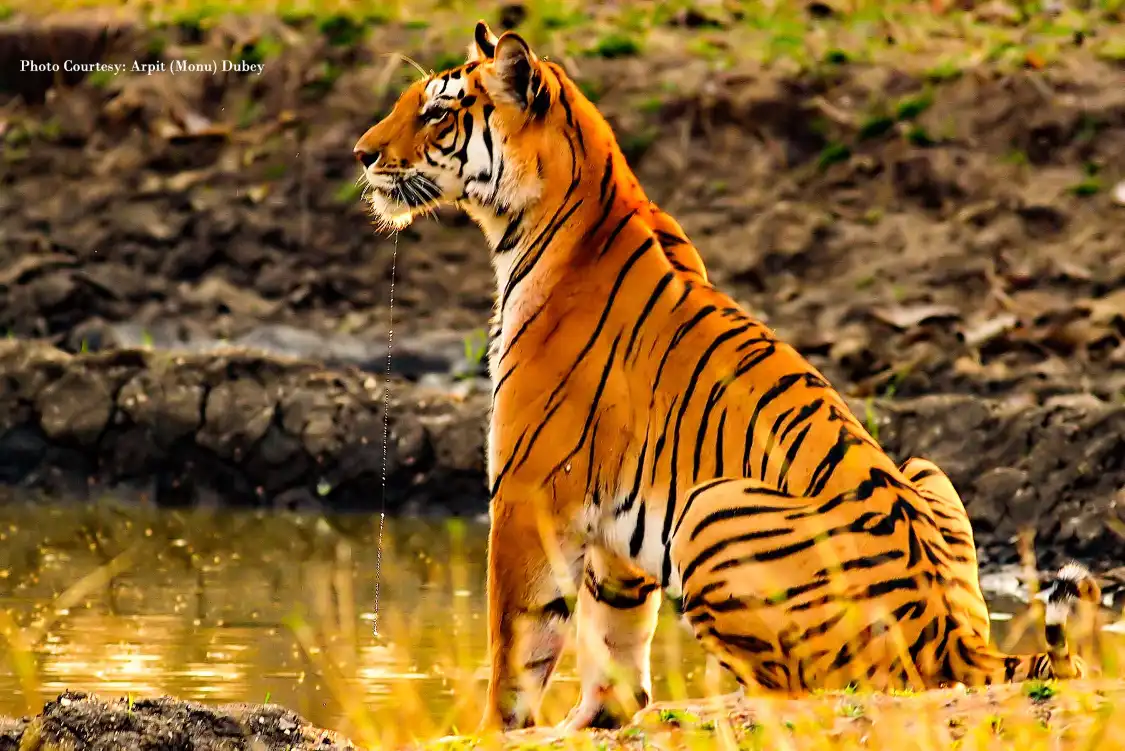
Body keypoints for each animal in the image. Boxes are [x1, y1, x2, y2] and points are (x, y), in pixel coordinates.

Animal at [353, 21, 1101, 733]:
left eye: (435, 113)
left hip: (707, 511)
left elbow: (517, 642)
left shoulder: (526, 490)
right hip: (922, 468)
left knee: (809, 688)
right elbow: (613, 636)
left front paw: (494, 729)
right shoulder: (609, 528)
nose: (361, 154)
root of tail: (955, 639)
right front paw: (593, 719)